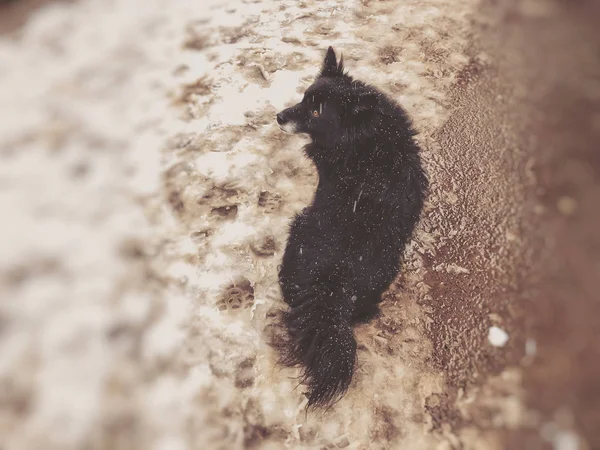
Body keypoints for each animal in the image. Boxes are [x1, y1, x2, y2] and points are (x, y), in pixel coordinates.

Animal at [276, 48, 426, 408]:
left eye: (316, 110)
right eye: (305, 98)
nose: (278, 116)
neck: (367, 137)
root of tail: (331, 285)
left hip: (297, 224)